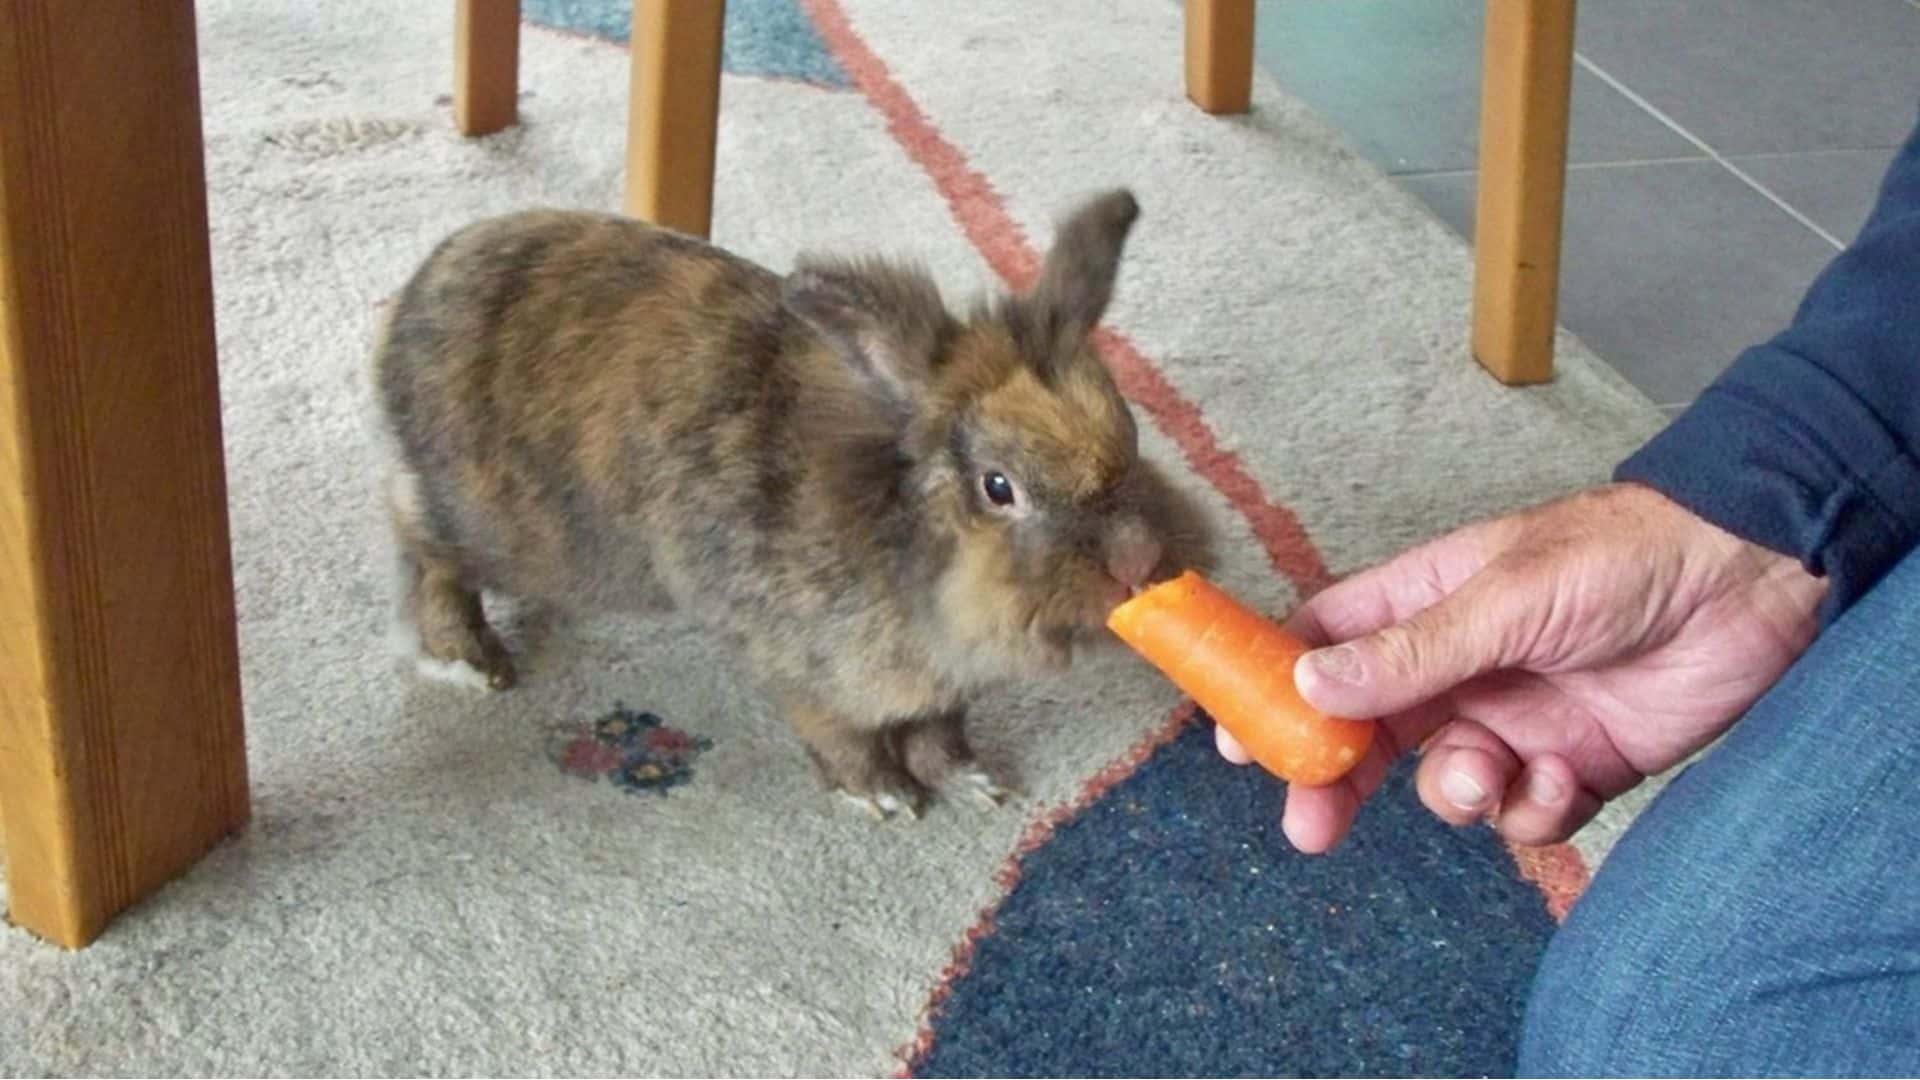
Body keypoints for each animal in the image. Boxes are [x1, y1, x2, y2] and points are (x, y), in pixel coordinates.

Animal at [371, 188, 1212, 818]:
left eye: (1131, 432)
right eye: (998, 487)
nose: (1137, 557)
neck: (904, 538)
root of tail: (422, 287)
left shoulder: (941, 688)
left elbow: (939, 734)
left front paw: (973, 783)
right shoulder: (808, 671)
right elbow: (844, 738)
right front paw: (883, 798)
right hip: (510, 529)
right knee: (417, 535)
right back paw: (465, 658)